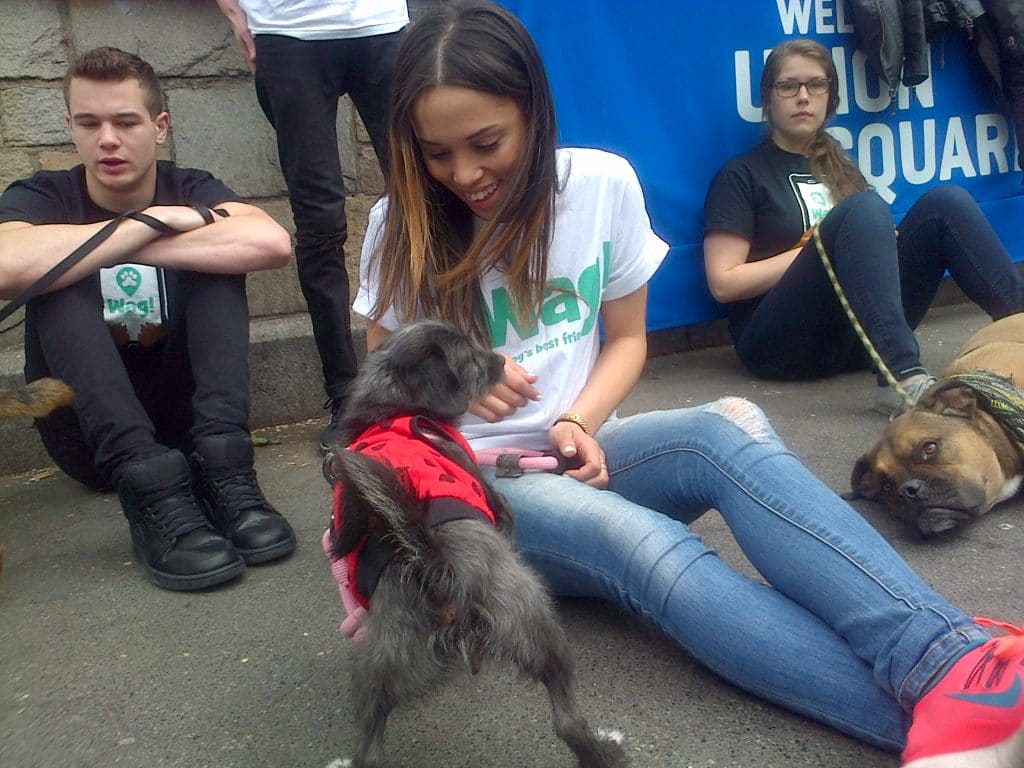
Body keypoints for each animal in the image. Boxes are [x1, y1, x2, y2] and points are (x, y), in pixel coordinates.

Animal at [321, 321, 622, 768]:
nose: (500, 361)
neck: (392, 410)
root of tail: (435, 564)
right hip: (534, 624)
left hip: (382, 661)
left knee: (371, 746)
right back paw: (605, 750)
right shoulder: (498, 507)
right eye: (470, 358)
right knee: (566, 717)